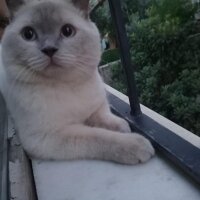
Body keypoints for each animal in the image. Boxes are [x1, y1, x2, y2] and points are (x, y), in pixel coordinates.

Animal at [0, 0, 155, 164]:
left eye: (67, 31)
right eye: (28, 34)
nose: (49, 49)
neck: (69, 85)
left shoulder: (97, 105)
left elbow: (104, 117)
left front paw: (122, 126)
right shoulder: (47, 137)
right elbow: (100, 136)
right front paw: (137, 144)